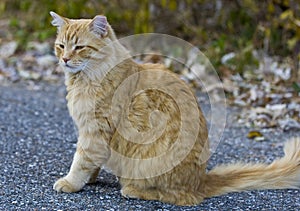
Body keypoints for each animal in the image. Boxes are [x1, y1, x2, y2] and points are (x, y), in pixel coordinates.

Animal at [50, 11, 298, 204]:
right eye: (61, 46)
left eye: (79, 47)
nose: (65, 59)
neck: (89, 78)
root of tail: (200, 181)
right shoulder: (91, 131)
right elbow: (92, 163)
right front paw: (90, 180)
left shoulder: (95, 131)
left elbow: (82, 160)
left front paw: (71, 183)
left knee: (176, 197)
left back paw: (132, 190)